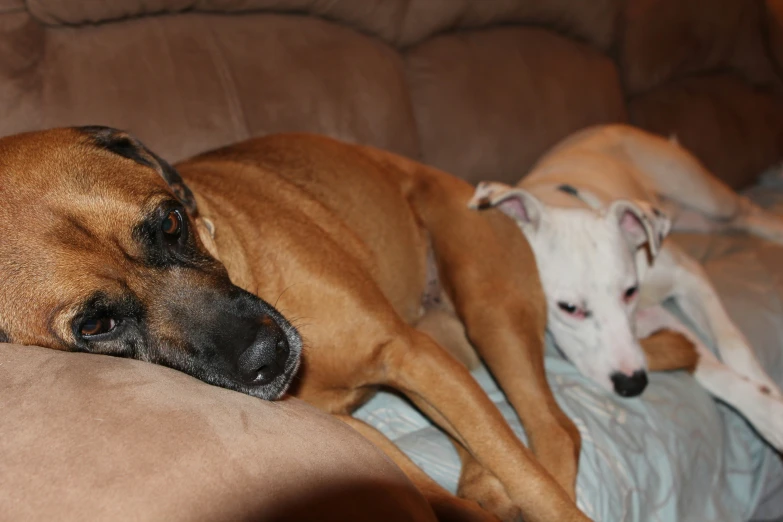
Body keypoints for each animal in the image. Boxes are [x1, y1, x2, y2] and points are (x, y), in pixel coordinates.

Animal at [0, 127, 688, 520]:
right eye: (95, 326)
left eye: (171, 221)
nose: (268, 357)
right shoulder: (360, 432)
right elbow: (440, 493)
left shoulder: (407, 354)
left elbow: (534, 482)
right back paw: (482, 483)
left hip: (487, 306)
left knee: (550, 432)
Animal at [466, 124, 783, 448]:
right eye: (569, 308)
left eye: (630, 291)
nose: (633, 384)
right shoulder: (652, 320)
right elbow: (710, 370)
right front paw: (765, 410)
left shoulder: (689, 276)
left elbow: (733, 342)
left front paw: (766, 391)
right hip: (697, 219)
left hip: (707, 196)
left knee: (747, 210)